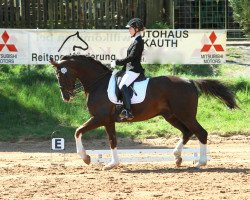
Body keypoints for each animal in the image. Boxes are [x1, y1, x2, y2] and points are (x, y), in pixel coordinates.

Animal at [49, 55, 238, 170]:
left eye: (60, 75)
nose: (66, 97)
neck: (98, 83)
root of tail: (190, 81)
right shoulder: (108, 121)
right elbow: (112, 140)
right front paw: (112, 164)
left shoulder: (99, 118)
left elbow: (77, 131)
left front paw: (86, 158)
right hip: (171, 116)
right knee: (187, 132)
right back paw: (177, 156)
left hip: (185, 115)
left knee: (200, 132)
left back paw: (200, 162)